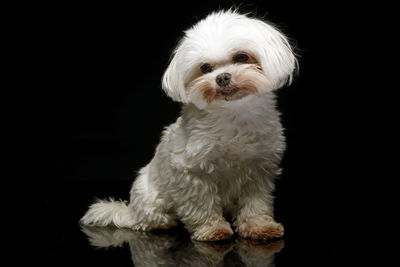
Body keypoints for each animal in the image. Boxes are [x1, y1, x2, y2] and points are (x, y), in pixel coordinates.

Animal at [80, 9, 296, 242]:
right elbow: (202, 205)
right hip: (148, 195)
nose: (222, 77)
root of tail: (130, 211)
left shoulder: (259, 171)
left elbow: (256, 204)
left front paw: (259, 226)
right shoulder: (193, 172)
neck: (232, 112)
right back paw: (161, 223)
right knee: (147, 218)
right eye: (205, 68)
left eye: (241, 57)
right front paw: (212, 229)